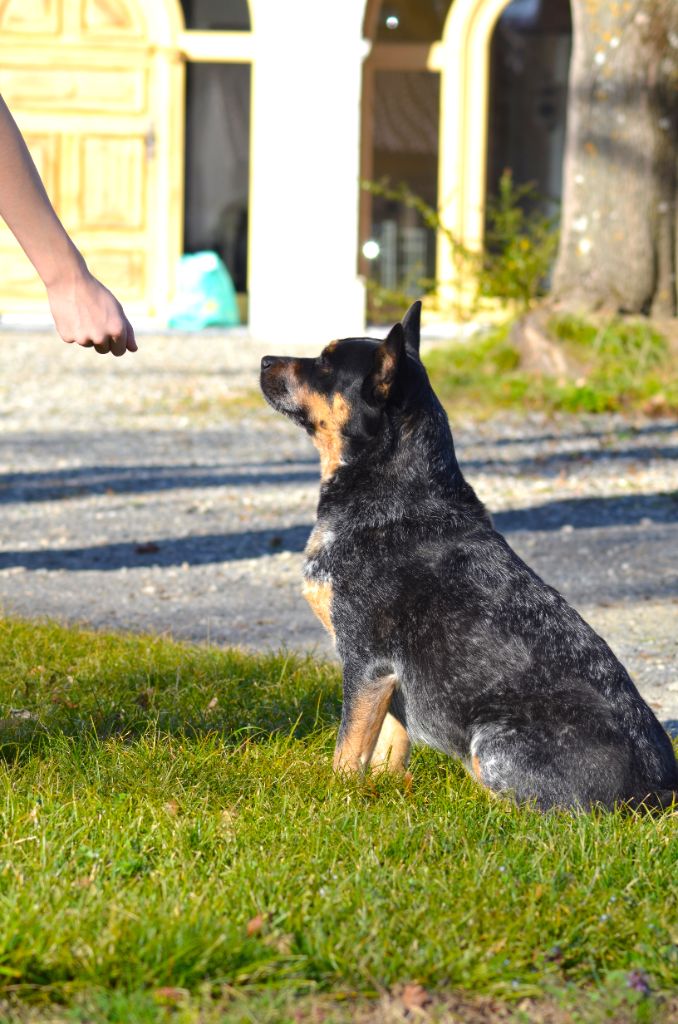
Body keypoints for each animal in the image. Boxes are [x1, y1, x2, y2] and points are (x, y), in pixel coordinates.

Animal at [260, 301, 678, 811]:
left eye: (323, 363)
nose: (264, 359)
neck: (397, 494)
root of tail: (657, 792)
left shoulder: (365, 662)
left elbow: (348, 748)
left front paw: (336, 798)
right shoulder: (390, 679)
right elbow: (388, 747)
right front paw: (383, 792)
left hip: (493, 742)